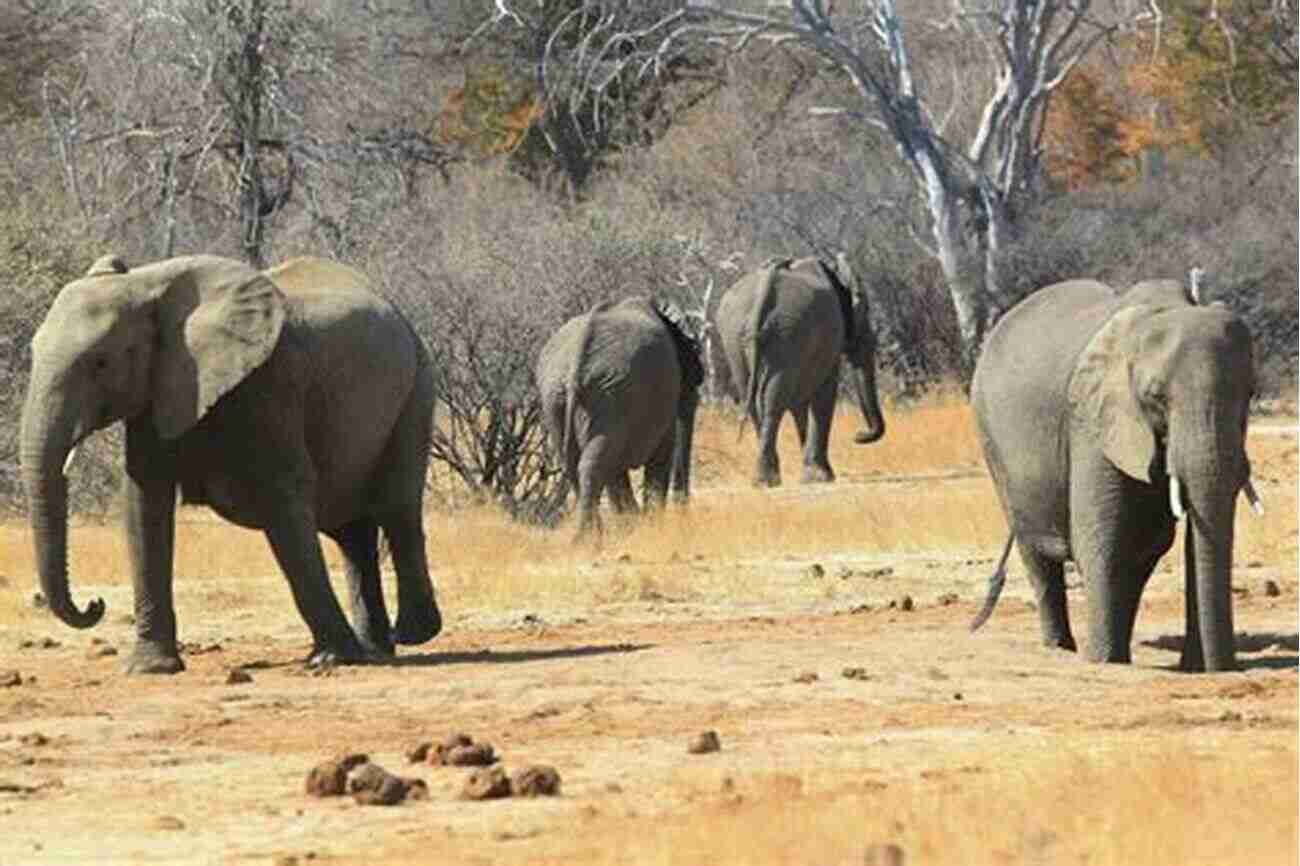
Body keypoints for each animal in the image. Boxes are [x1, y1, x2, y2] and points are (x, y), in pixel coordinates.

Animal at [20, 253, 441, 670]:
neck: (147, 282)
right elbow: (144, 504)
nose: (95, 604)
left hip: (417, 386)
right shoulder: (158, 389)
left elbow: (283, 497)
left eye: (101, 363)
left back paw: (411, 634)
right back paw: (376, 648)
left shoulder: (271, 382)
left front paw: (331, 659)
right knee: (351, 532)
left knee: (397, 507)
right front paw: (150, 667)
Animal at [535, 296, 707, 540]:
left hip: (561, 397)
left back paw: (591, 538)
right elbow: (662, 454)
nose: (684, 516)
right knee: (594, 462)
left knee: (576, 463)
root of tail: (577, 359)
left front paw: (634, 525)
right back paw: (588, 539)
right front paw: (648, 526)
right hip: (610, 395)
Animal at [712, 254, 883, 486]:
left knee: (753, 399)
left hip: (736, 336)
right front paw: (822, 477)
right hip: (786, 333)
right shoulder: (827, 341)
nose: (858, 435)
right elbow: (823, 395)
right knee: (773, 401)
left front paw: (810, 471)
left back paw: (765, 479)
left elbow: (799, 401)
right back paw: (767, 479)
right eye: (865, 314)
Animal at [972, 276, 1263, 665]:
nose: (1221, 669)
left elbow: (1161, 542)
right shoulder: (1093, 420)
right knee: (1036, 554)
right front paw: (1103, 662)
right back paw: (1060, 649)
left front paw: (1189, 667)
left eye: (1249, 394)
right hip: (991, 439)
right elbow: (1103, 536)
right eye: (1155, 396)